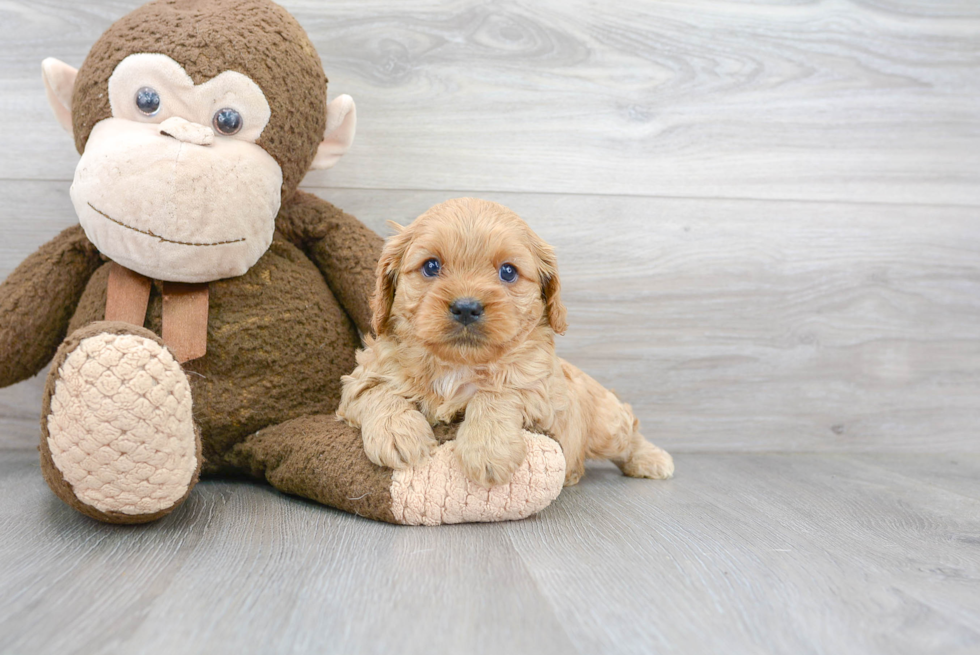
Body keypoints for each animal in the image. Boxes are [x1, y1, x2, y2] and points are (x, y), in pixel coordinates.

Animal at [338, 197, 672, 490]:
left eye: (508, 271)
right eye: (431, 266)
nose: (466, 308)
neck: (458, 364)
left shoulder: (539, 390)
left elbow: (497, 393)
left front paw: (486, 449)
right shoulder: (359, 380)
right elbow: (378, 391)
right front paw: (398, 434)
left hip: (606, 424)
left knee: (628, 432)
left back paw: (652, 460)